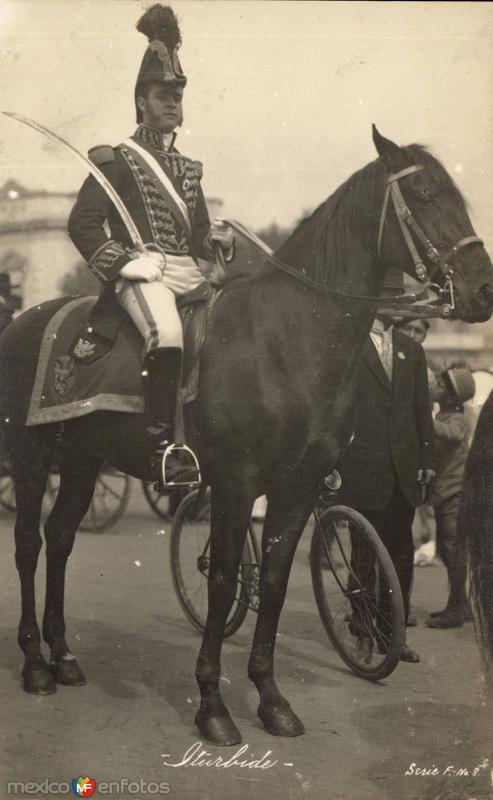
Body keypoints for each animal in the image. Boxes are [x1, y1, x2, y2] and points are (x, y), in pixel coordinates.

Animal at [0, 126, 492, 744]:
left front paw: (271, 699)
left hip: (84, 461)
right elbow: (222, 581)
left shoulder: (297, 488)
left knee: (62, 538)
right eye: (425, 194)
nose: (483, 291)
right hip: (31, 456)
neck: (287, 339)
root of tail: (25, 317)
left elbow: (276, 582)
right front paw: (212, 704)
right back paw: (35, 664)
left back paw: (63, 656)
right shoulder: (234, 483)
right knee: (29, 544)